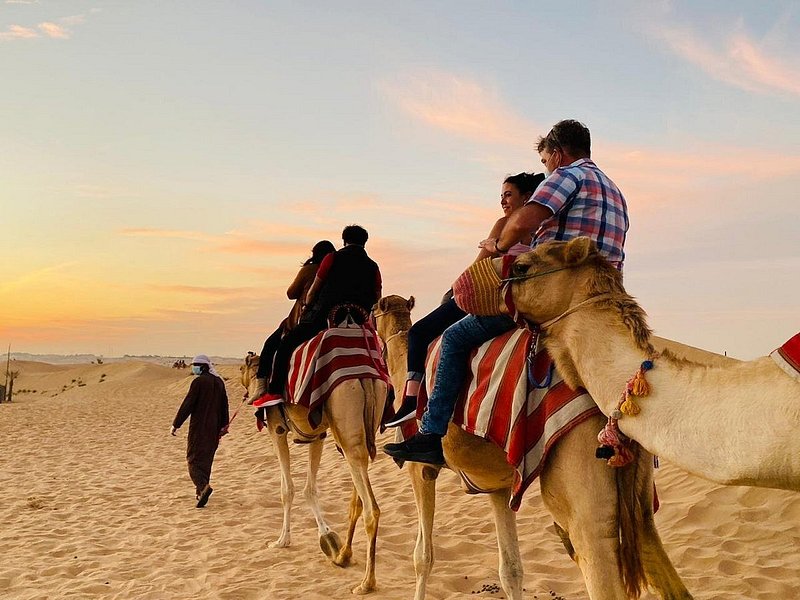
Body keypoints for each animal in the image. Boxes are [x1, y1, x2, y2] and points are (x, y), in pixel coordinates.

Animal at [241, 326, 388, 596]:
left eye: (240, 370)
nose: (246, 390)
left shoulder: (276, 429)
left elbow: (287, 489)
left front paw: (281, 541)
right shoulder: (317, 436)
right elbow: (310, 488)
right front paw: (327, 537)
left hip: (345, 422)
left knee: (371, 509)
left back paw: (366, 582)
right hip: (363, 428)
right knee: (358, 495)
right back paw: (343, 555)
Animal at [372, 296, 692, 600]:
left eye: (372, 313)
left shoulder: (421, 469)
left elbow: (422, 557)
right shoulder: (499, 486)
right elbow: (511, 569)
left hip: (584, 493)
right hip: (637, 495)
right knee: (655, 553)